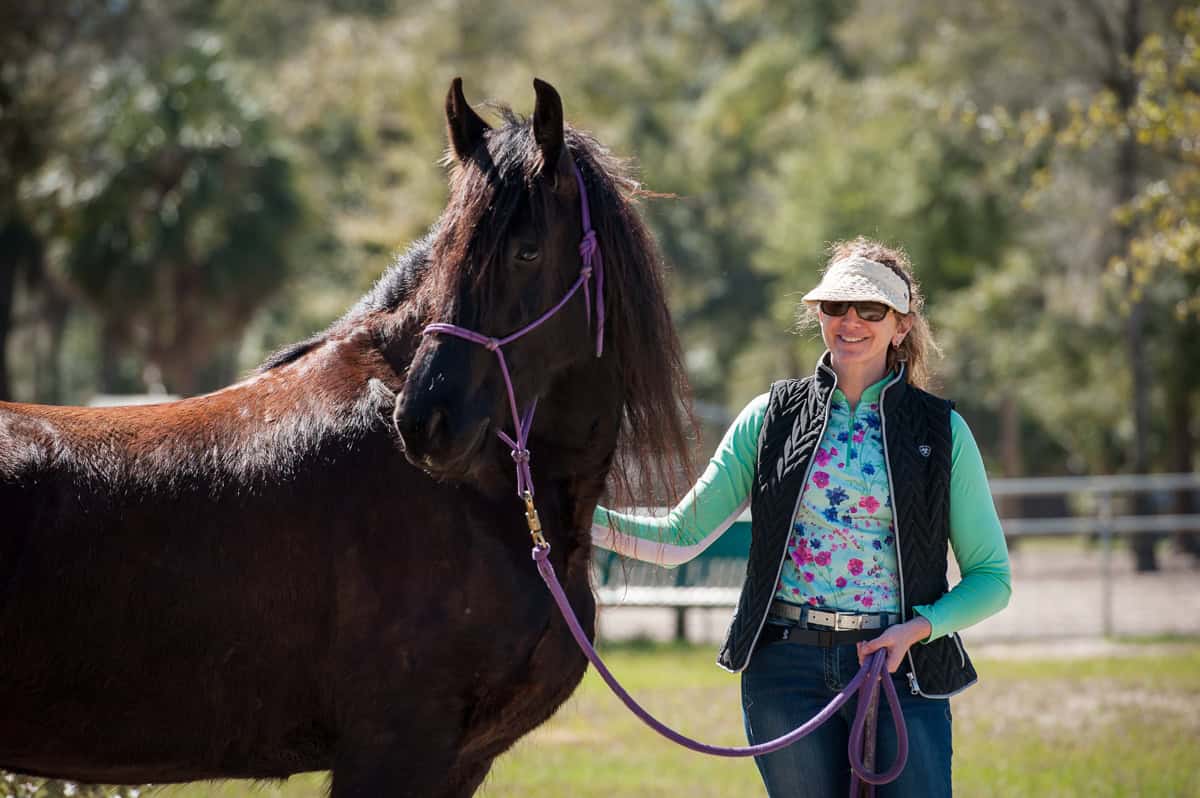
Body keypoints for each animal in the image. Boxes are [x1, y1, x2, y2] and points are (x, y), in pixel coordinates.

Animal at [0, 78, 691, 797]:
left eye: (527, 250)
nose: (423, 422)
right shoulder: (393, 748)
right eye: (444, 254)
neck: (491, 502)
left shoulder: (457, 761)